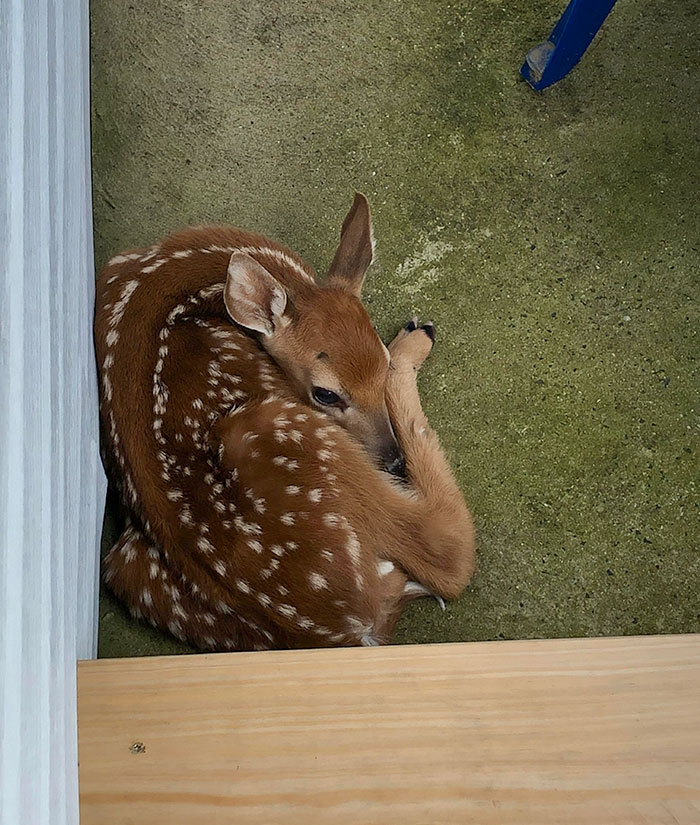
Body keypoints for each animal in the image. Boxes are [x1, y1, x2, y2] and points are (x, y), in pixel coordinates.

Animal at [94, 193, 475, 650]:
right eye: (326, 394)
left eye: (379, 365)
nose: (393, 460)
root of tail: (351, 627)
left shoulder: (112, 270)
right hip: (285, 433)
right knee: (445, 554)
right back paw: (416, 340)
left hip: (126, 565)